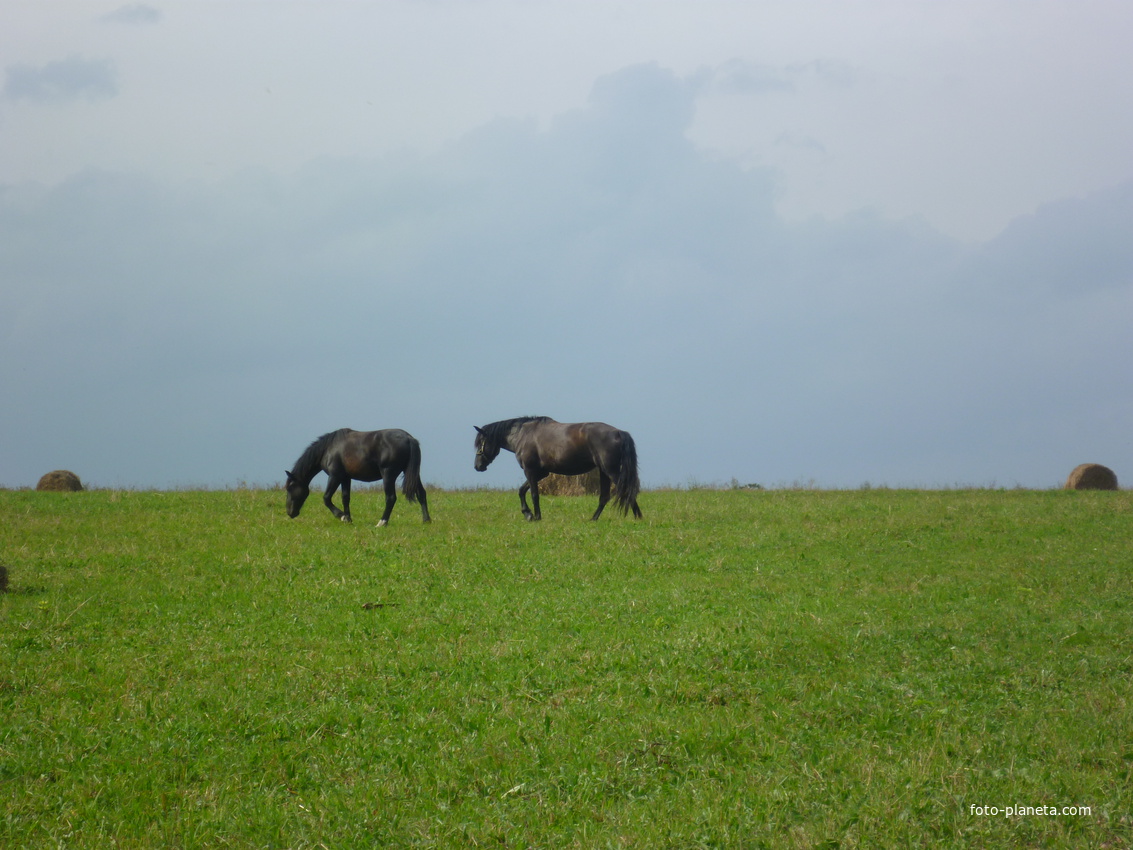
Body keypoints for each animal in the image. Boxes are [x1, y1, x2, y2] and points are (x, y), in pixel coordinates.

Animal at [285, 432, 430, 525]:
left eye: (290, 488)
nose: (290, 512)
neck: (329, 449)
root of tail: (409, 438)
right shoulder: (345, 478)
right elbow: (345, 498)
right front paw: (348, 519)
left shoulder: (335, 476)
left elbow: (326, 498)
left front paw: (341, 516)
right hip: (412, 474)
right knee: (421, 494)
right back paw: (426, 520)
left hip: (388, 475)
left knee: (390, 498)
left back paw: (382, 522)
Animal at [473, 417, 643, 523]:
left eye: (481, 442)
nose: (477, 466)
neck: (523, 435)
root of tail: (618, 432)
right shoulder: (541, 473)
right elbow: (522, 490)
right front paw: (527, 513)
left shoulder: (530, 471)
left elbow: (534, 494)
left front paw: (535, 516)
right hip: (604, 472)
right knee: (605, 497)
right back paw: (594, 518)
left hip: (611, 471)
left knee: (626, 491)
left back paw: (637, 516)